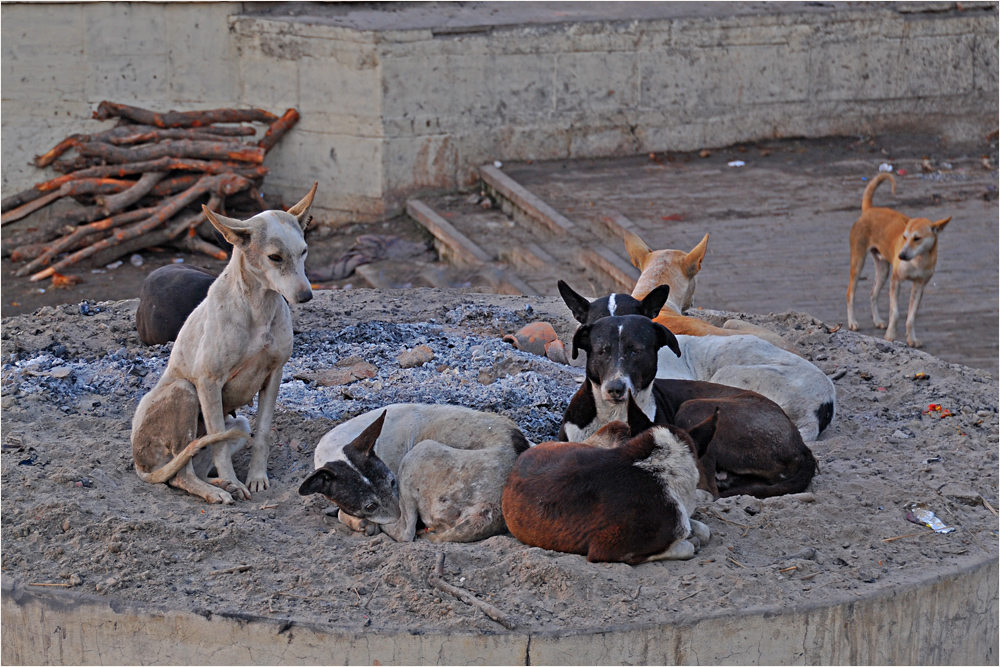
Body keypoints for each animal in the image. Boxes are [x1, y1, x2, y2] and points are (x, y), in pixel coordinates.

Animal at [304, 408, 536, 544]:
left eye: (393, 482)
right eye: (370, 506)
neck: (338, 448)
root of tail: (488, 508)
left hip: (418, 453)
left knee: (405, 534)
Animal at [848, 172, 948, 350]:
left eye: (917, 238)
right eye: (904, 237)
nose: (901, 255)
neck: (918, 260)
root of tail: (870, 209)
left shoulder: (919, 285)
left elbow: (911, 316)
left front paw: (912, 339)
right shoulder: (895, 281)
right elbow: (895, 312)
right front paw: (890, 336)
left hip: (883, 270)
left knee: (873, 293)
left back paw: (878, 320)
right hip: (858, 263)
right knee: (850, 293)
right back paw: (852, 321)